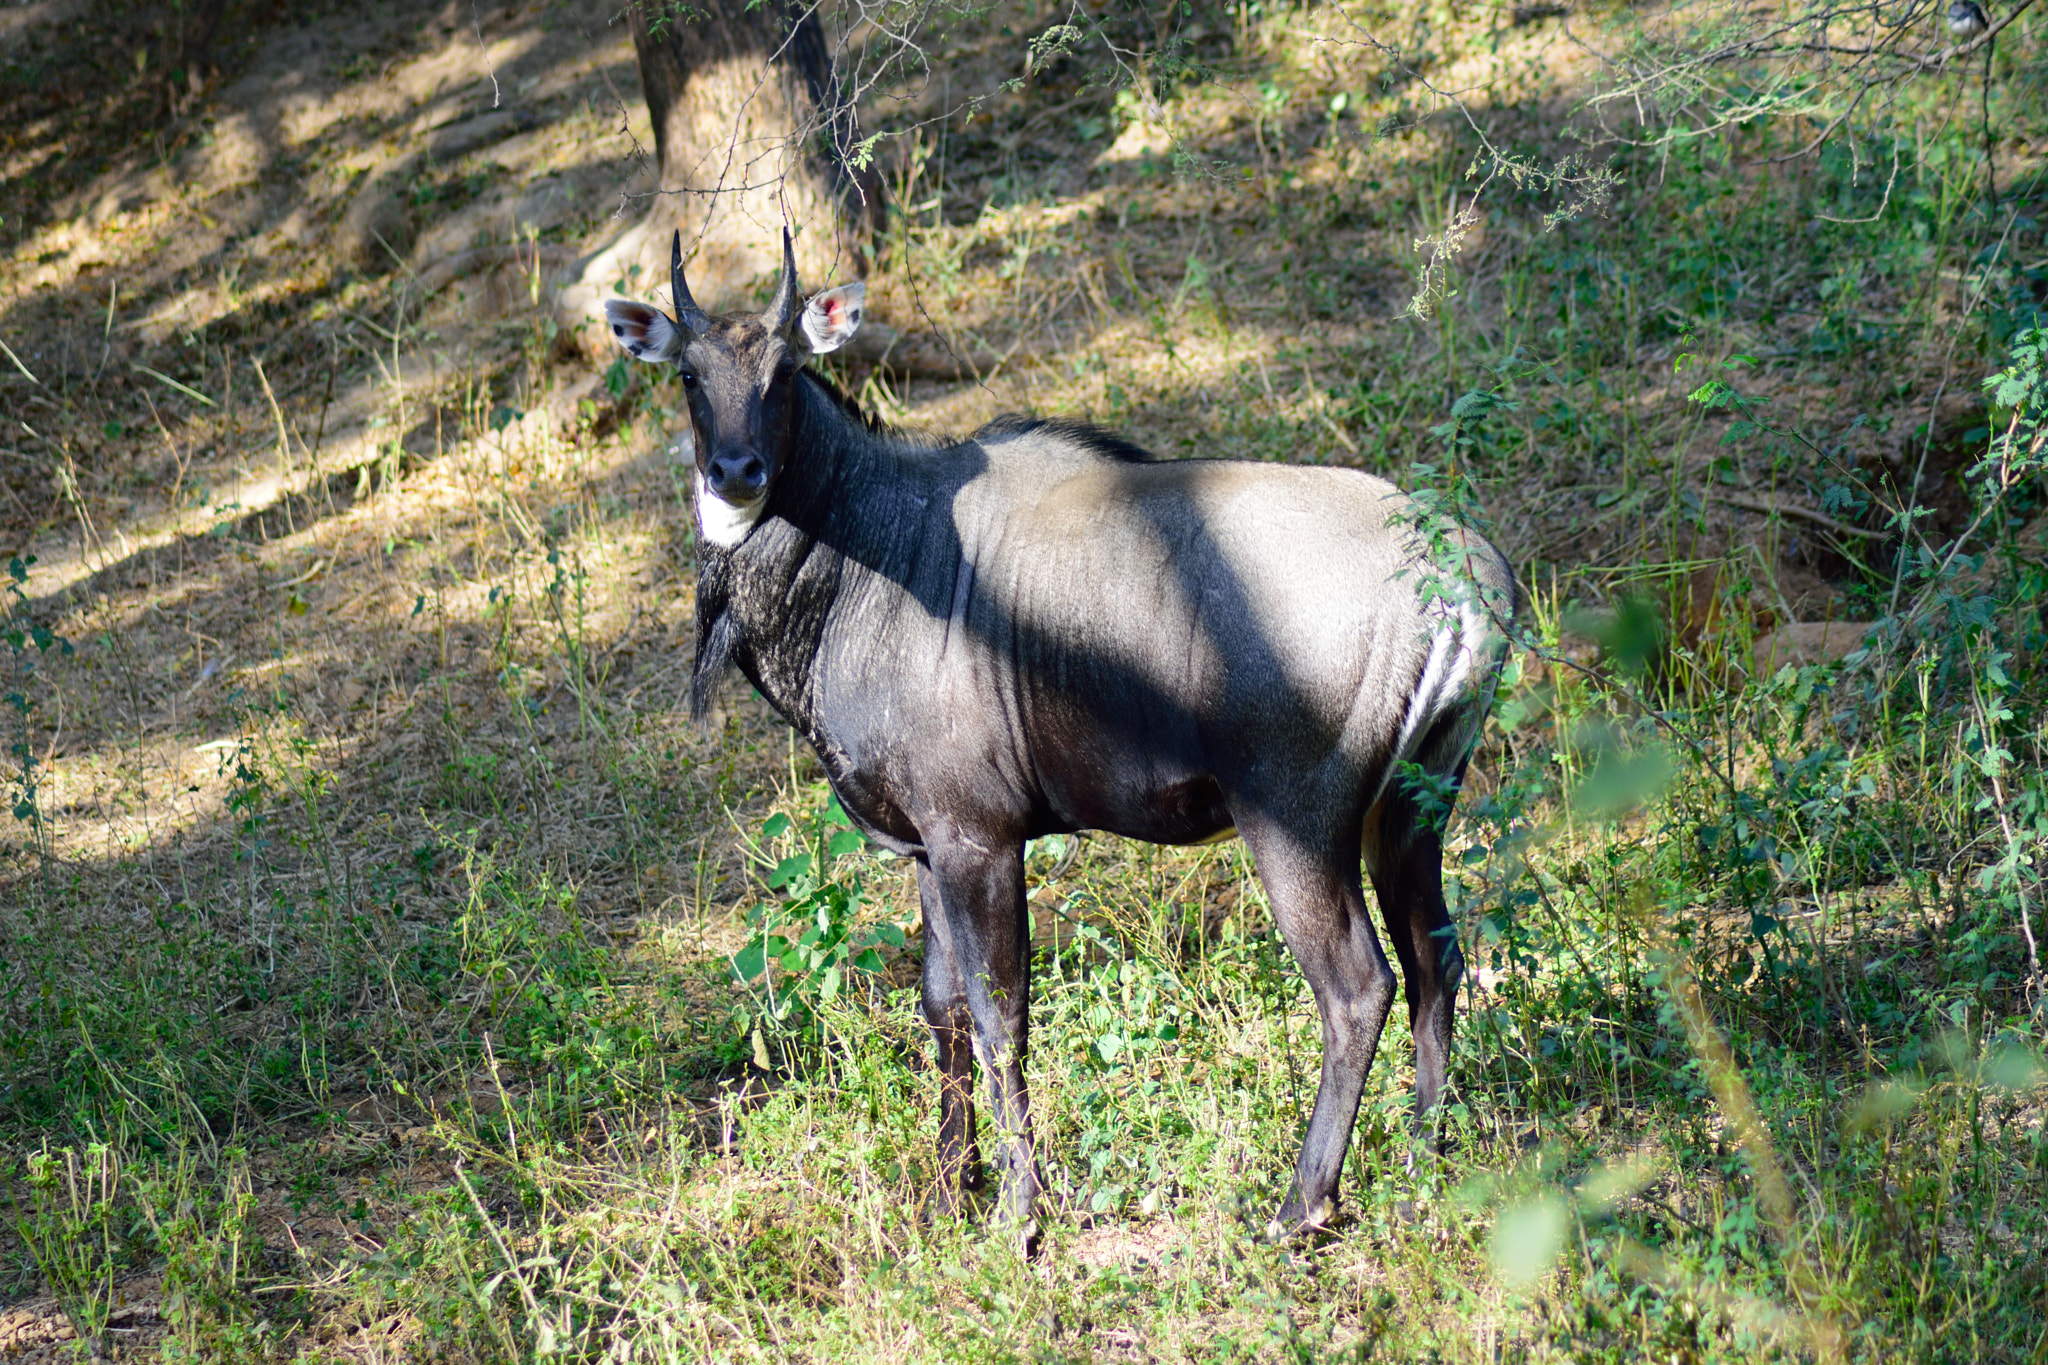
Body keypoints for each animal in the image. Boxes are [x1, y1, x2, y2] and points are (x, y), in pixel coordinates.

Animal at [605, 229, 1518, 1245]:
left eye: (785, 370)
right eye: (689, 373)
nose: (736, 473)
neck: (861, 559)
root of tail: (1467, 585)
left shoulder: (979, 833)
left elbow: (1002, 1016)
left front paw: (1017, 1213)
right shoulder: (926, 845)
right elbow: (943, 1006)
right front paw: (945, 1192)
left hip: (1297, 820)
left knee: (1359, 985)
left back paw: (1299, 1206)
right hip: (1411, 808)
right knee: (1438, 960)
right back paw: (1422, 1171)